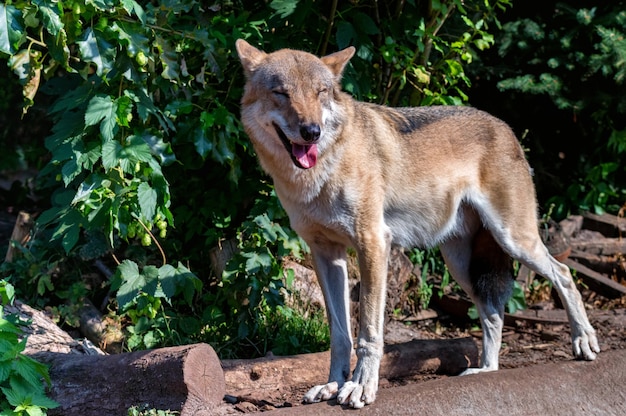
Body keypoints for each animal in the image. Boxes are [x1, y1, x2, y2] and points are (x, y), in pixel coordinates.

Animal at [235, 39, 600, 410]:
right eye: (281, 93)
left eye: (320, 92)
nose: (312, 132)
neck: (320, 172)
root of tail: (505, 127)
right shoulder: (326, 254)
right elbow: (340, 335)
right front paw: (332, 385)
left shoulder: (373, 244)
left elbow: (368, 332)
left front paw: (360, 387)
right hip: (462, 265)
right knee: (494, 314)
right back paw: (486, 371)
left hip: (513, 240)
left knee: (563, 273)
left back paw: (583, 341)